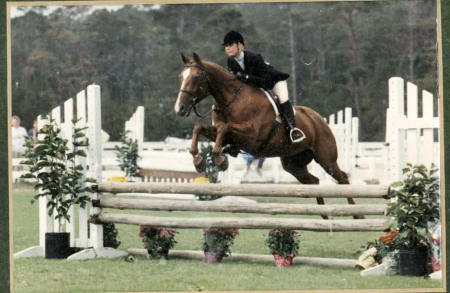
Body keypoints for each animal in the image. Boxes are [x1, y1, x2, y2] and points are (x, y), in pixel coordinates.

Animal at [174, 52, 360, 218]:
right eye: (180, 77)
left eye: (196, 77)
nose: (180, 108)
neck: (230, 100)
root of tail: (318, 119)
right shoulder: (229, 135)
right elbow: (200, 128)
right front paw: (199, 161)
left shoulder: (252, 136)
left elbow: (224, 128)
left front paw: (219, 159)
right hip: (293, 164)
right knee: (314, 181)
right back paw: (323, 214)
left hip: (326, 159)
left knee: (342, 178)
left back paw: (356, 214)